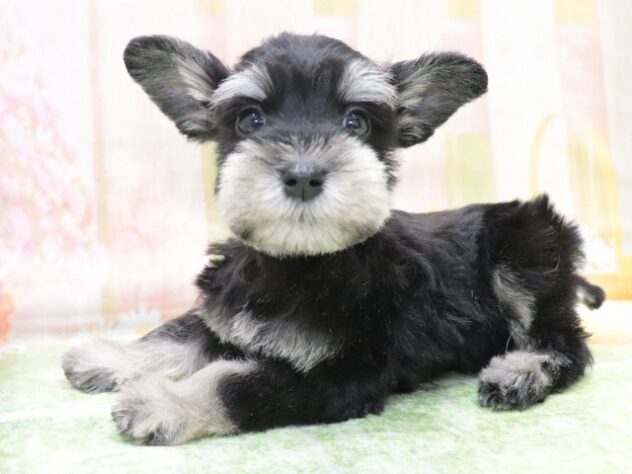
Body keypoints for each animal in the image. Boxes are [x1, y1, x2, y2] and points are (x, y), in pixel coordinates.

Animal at [62, 33, 606, 445]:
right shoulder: (225, 314)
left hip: (523, 254)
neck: (300, 262)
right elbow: (180, 334)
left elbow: (236, 382)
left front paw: (165, 401)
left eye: (356, 122)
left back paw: (519, 373)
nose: (303, 176)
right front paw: (111, 357)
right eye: (250, 119)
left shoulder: (341, 374)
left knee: (566, 344)